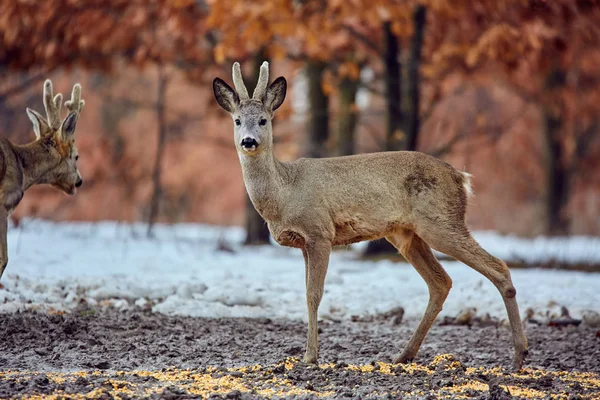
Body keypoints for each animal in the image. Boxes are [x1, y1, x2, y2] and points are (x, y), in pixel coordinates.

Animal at [213, 61, 528, 370]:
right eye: (237, 121)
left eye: (263, 120)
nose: (249, 141)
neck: (284, 194)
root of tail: (460, 177)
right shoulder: (304, 242)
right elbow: (305, 292)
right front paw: (309, 354)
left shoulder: (320, 232)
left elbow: (314, 294)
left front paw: (310, 357)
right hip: (406, 234)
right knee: (441, 282)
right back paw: (403, 356)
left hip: (441, 221)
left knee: (498, 267)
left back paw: (518, 356)